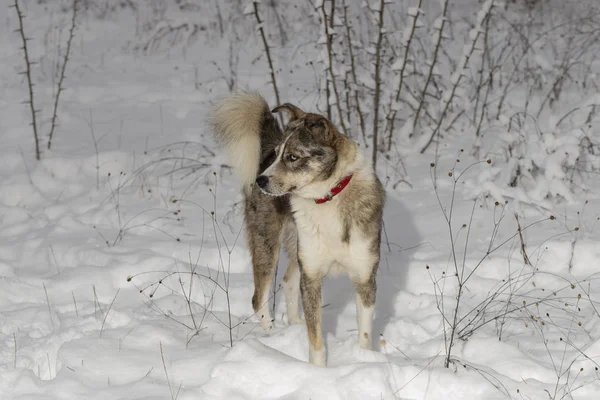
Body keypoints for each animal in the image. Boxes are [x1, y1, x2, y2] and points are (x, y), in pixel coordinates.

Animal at [213, 91, 386, 366]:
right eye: (277, 154)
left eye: (293, 157)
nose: (260, 180)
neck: (328, 197)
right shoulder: (312, 275)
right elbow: (315, 338)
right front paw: (318, 370)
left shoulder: (364, 276)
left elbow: (365, 332)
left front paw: (364, 359)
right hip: (268, 241)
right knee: (259, 297)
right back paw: (272, 336)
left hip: (298, 245)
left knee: (288, 280)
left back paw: (293, 325)